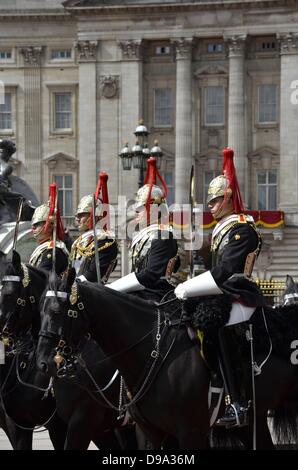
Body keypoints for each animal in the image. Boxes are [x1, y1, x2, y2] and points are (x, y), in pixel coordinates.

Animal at [34, 268, 298, 448]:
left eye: (56, 311)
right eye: (40, 310)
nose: (42, 363)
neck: (152, 348)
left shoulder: (191, 432)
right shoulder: (148, 431)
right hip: (254, 420)